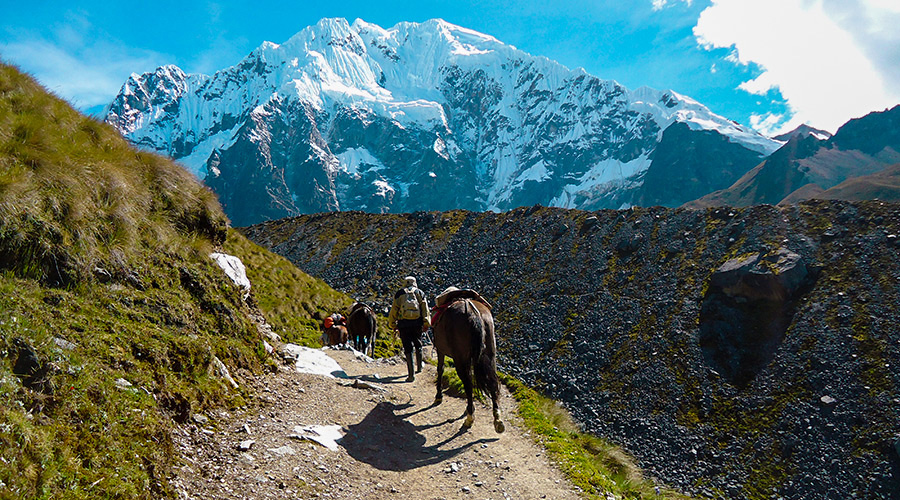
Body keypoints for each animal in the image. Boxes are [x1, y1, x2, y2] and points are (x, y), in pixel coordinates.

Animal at [430, 290, 502, 434]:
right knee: (492, 382)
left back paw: (469, 417)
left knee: (467, 383)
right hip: (490, 354)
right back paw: (497, 420)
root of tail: (474, 313)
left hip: (460, 359)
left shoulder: (440, 350)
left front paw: (438, 396)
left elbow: (440, 369)